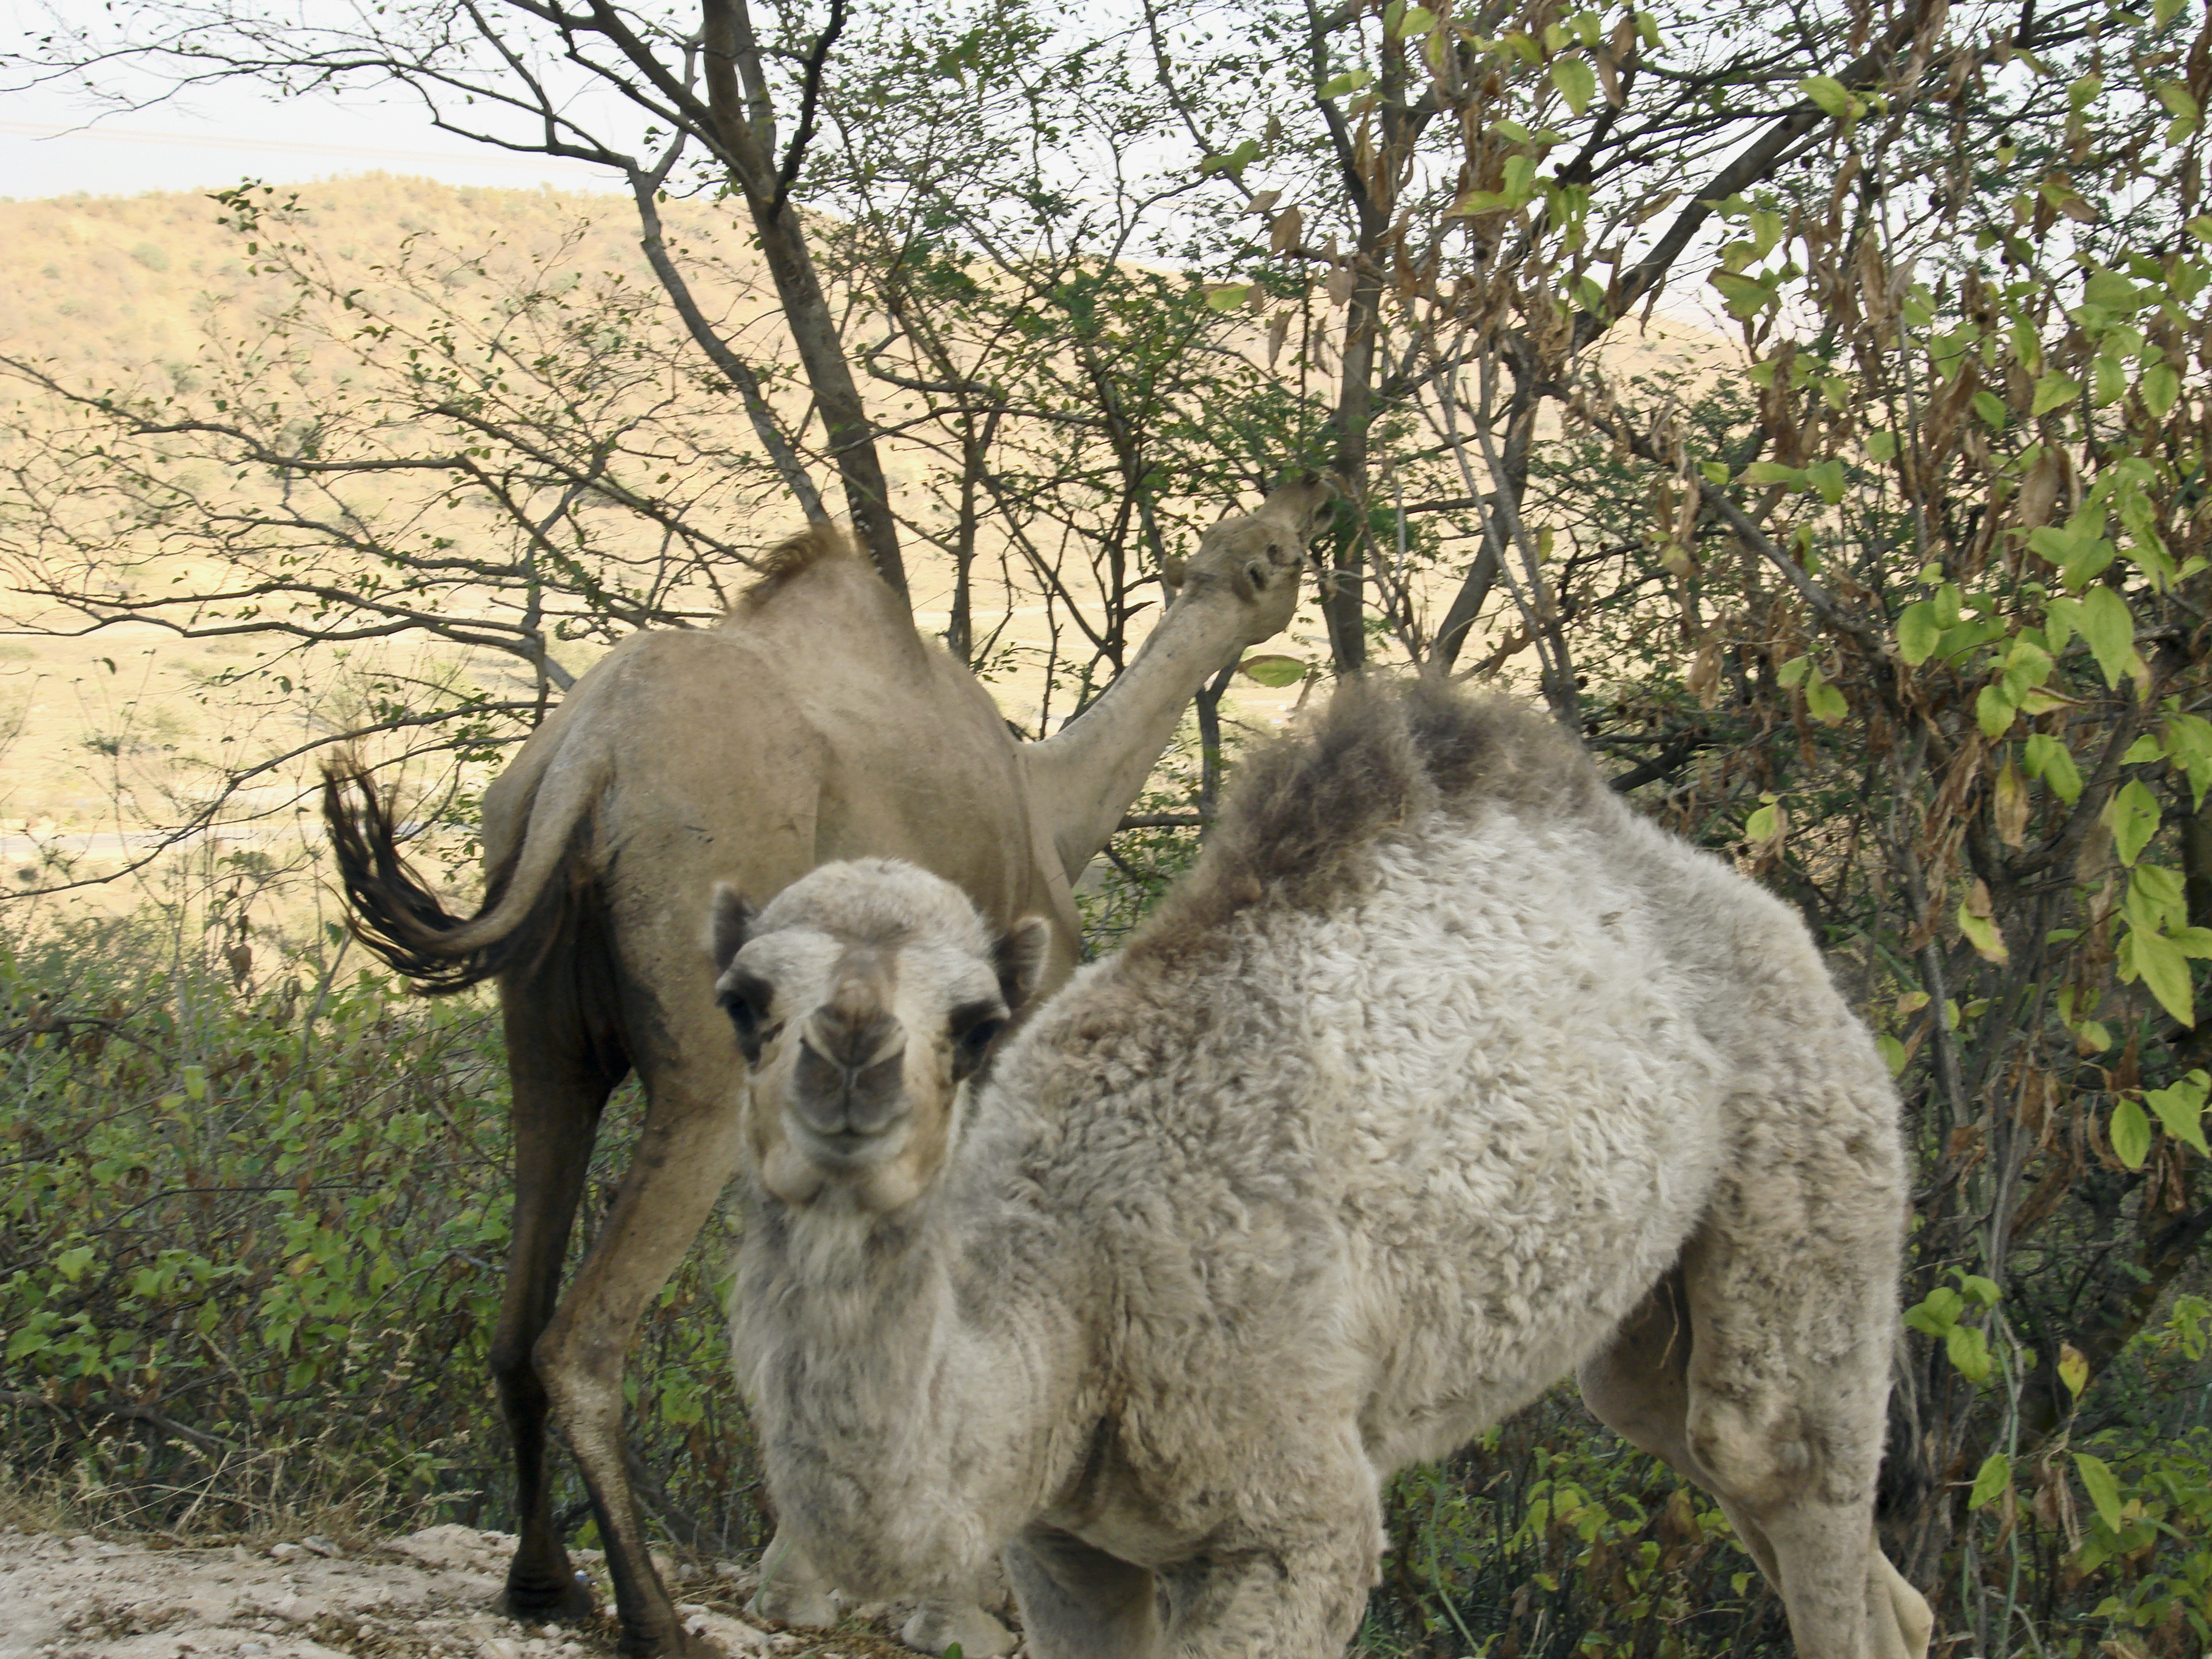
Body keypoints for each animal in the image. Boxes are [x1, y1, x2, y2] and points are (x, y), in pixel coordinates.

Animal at [320, 476, 1332, 1659]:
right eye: (1280, 551)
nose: (1315, 495)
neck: (1051, 803)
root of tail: (588, 760)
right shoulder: (981, 1057)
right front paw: (948, 1610)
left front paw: (808, 1583)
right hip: (705, 1060)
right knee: (581, 1338)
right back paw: (654, 1620)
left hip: (542, 1030)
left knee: (516, 1316)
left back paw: (546, 1588)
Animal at [707, 677, 1936, 1659]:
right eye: (744, 1002)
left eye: (973, 1025)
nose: (852, 1057)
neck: (1077, 1303)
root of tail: (1790, 937)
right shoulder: (1062, 1543)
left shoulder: (1296, 1528)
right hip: (1645, 1344)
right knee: (1779, 1508)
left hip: (1817, 1171)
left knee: (1776, 1461)